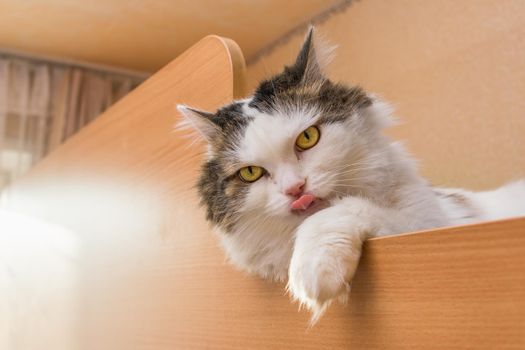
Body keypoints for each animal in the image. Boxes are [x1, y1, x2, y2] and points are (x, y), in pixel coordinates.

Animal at [176, 27, 524, 322]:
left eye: (308, 138)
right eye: (251, 173)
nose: (295, 189)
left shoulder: (430, 224)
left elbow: (339, 211)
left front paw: (312, 270)